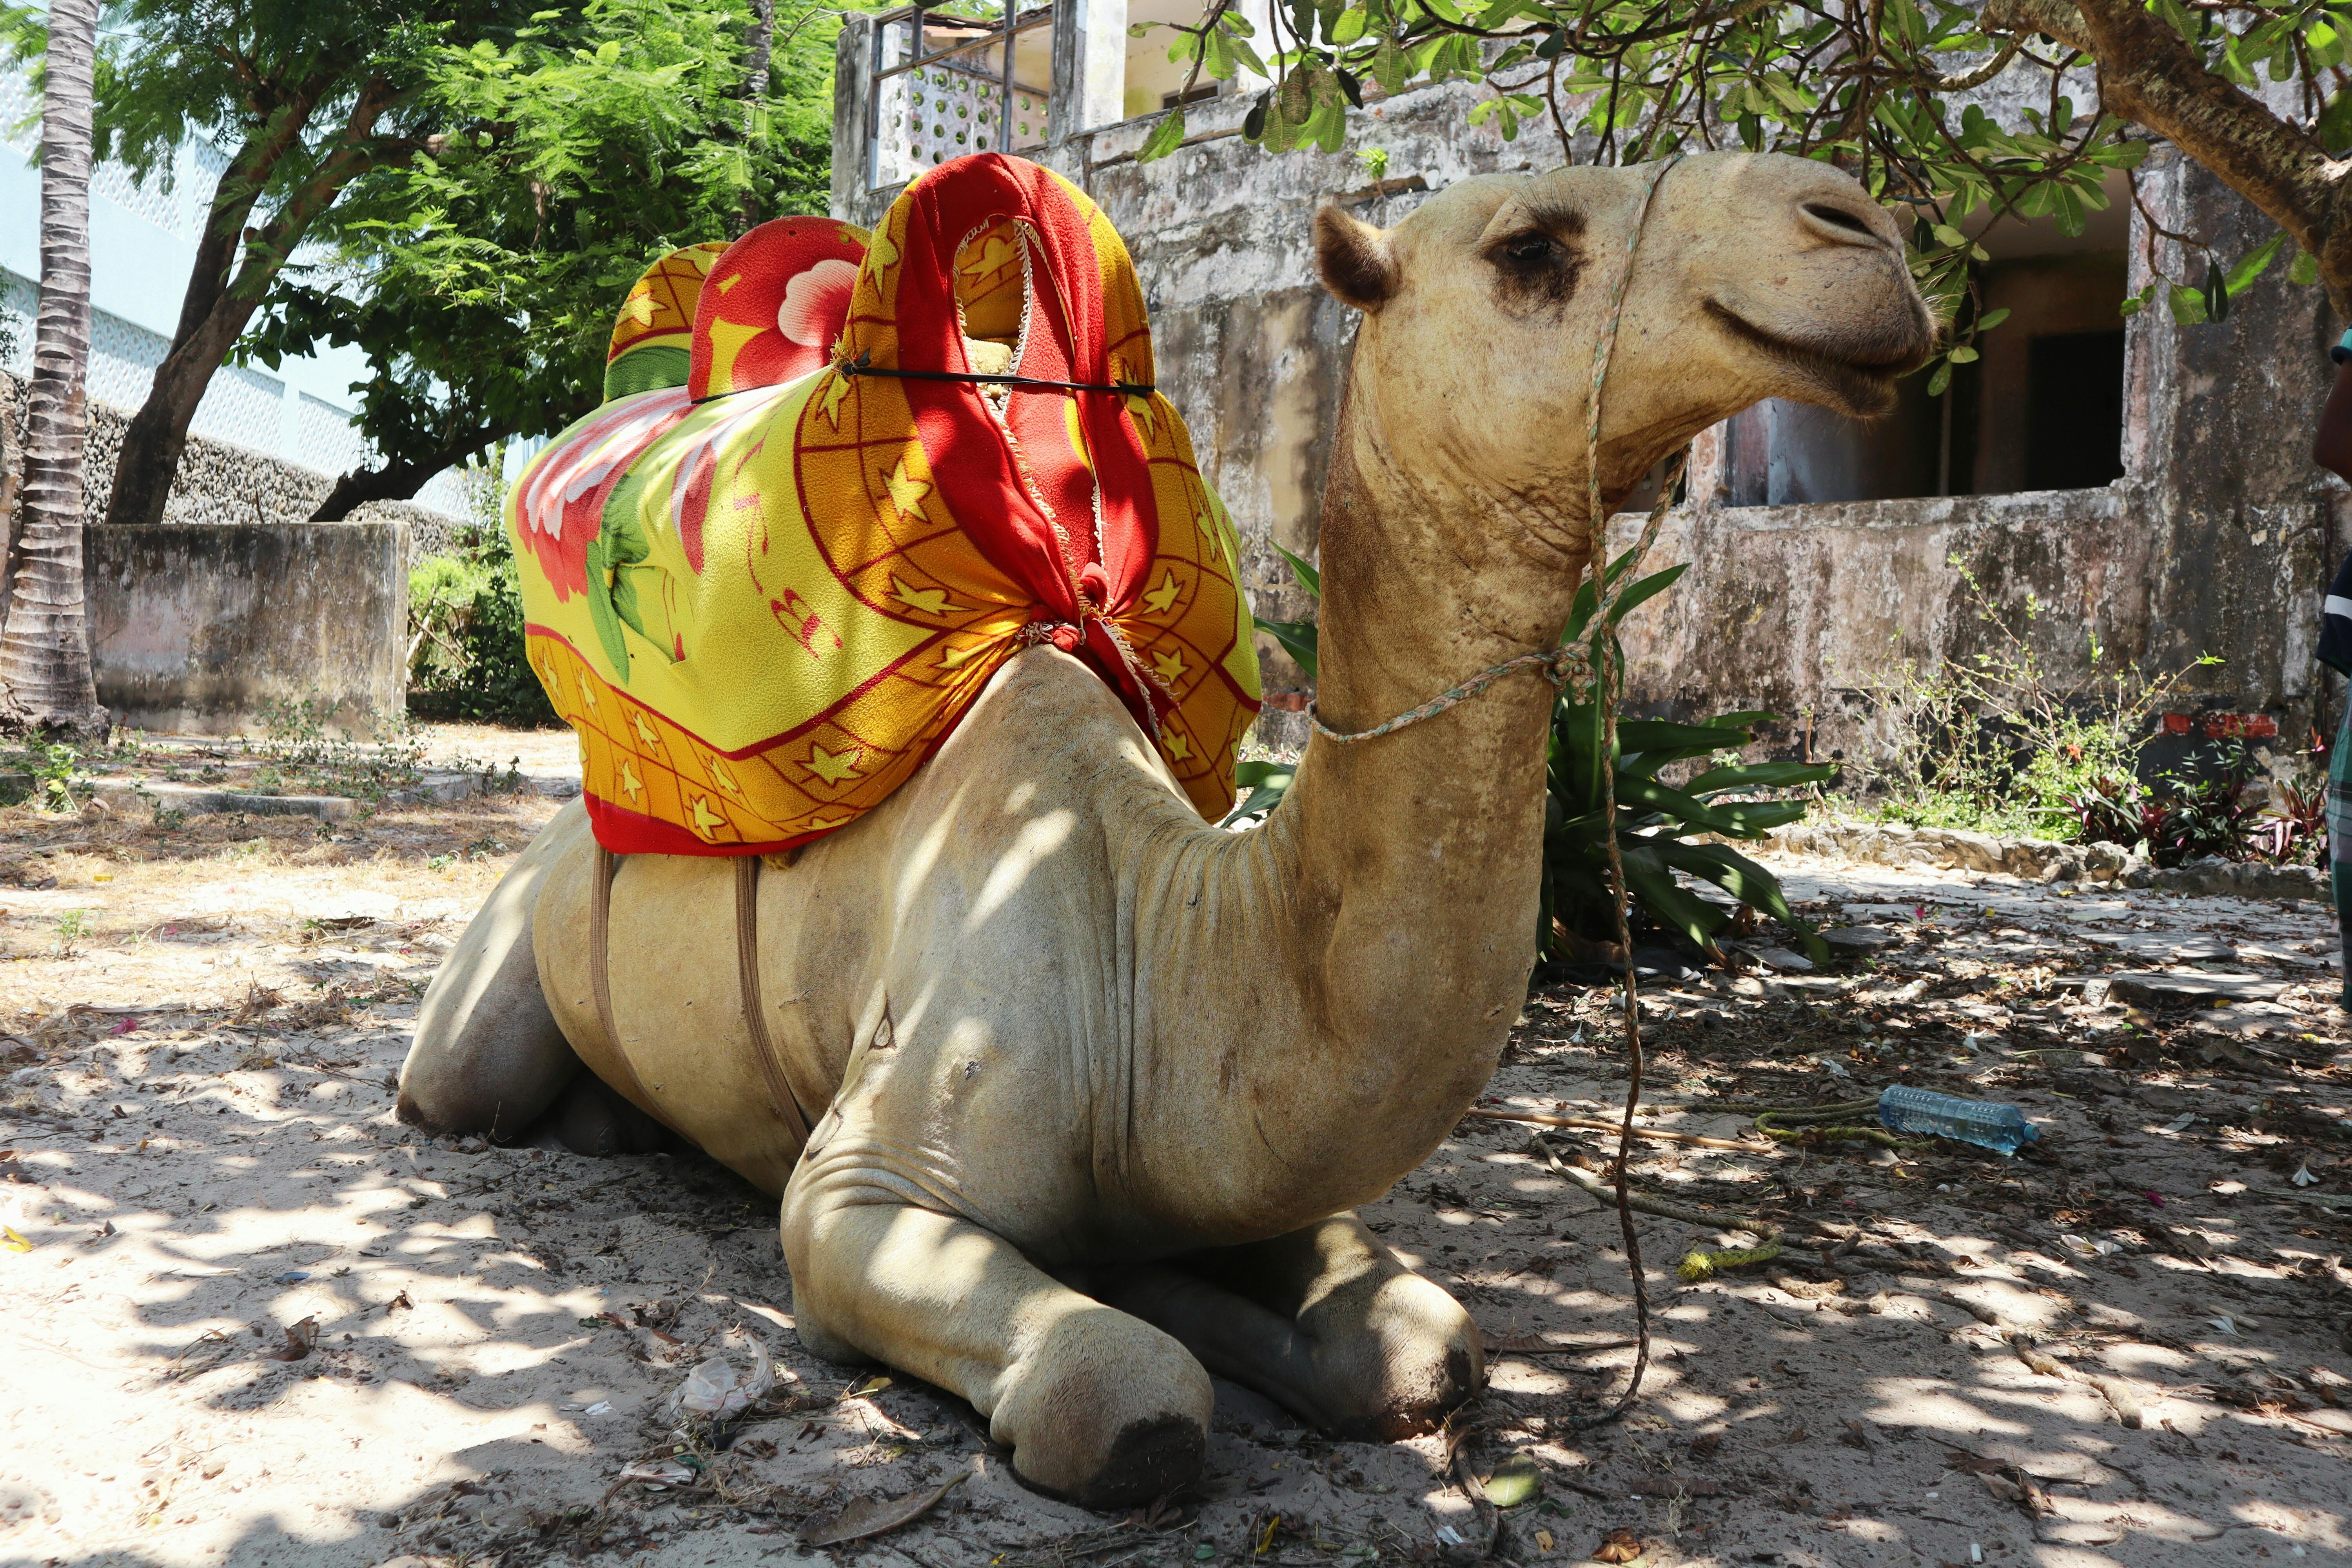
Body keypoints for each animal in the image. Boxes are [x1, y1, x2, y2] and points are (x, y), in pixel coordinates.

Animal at [398, 151, 1935, 1508]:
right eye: (1530, 249)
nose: (1863, 230)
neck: (1157, 938)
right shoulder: (861, 1181)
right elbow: (1121, 1393)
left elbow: (1421, 1345)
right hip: (493, 979)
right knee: (455, 1087)